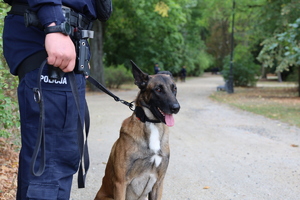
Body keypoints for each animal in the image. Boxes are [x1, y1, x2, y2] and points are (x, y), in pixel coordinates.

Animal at [95, 61, 180, 200]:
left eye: (174, 89)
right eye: (158, 89)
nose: (176, 108)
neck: (151, 123)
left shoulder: (158, 182)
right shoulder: (120, 183)